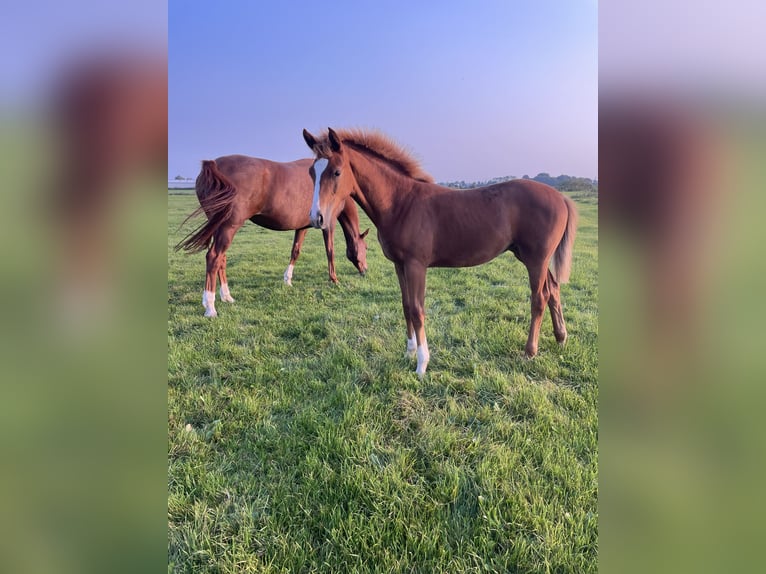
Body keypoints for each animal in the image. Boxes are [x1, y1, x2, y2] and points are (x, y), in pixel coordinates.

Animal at [177, 156, 368, 320]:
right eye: (366, 248)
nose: (364, 270)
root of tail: (213, 165)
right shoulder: (328, 224)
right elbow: (330, 251)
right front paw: (334, 279)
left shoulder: (301, 227)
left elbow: (295, 251)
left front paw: (288, 280)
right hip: (228, 227)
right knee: (214, 257)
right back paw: (210, 307)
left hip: (219, 227)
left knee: (221, 259)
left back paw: (227, 297)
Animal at [304, 129, 580, 378]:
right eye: (311, 173)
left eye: (336, 172)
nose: (317, 218)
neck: (401, 203)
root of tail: (561, 197)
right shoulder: (399, 264)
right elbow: (406, 305)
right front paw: (409, 352)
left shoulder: (416, 265)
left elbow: (418, 309)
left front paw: (422, 364)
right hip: (530, 257)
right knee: (554, 289)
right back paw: (561, 337)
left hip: (536, 259)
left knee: (539, 298)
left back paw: (530, 351)